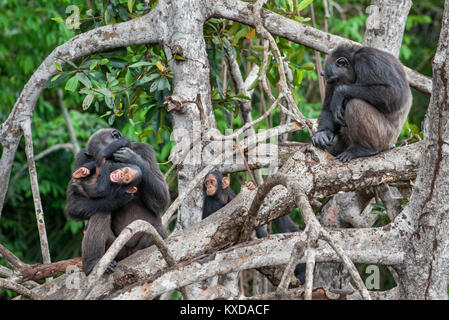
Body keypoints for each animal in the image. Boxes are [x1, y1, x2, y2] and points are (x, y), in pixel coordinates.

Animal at [66, 129, 170, 274]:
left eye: (110, 158)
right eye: (102, 161)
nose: (112, 170)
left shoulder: (146, 149)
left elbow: (162, 197)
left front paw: (132, 157)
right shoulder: (81, 158)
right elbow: (74, 203)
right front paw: (118, 198)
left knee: (158, 230)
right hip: (117, 252)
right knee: (100, 212)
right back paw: (93, 263)